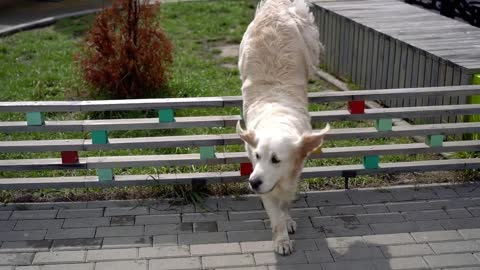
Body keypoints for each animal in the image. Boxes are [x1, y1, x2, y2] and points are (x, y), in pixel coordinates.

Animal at [237, 0, 328, 255]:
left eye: (276, 159)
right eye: (258, 156)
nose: (253, 183)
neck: (277, 115)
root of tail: (275, 6)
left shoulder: (295, 169)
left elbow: (286, 200)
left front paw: (287, 220)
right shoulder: (258, 172)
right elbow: (273, 208)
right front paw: (281, 239)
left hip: (307, 39)